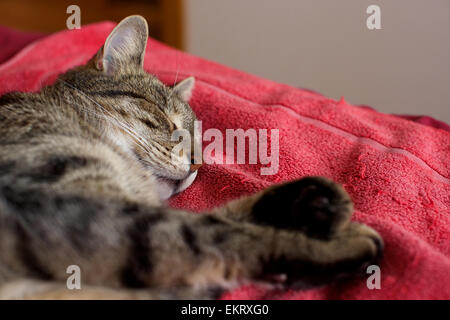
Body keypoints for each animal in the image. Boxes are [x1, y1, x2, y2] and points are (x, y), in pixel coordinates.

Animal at [0, 16, 384, 298]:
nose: (199, 164)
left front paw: (308, 201)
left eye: (200, 140)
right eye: (165, 119)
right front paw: (336, 246)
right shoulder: (75, 217)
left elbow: (222, 219)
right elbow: (214, 235)